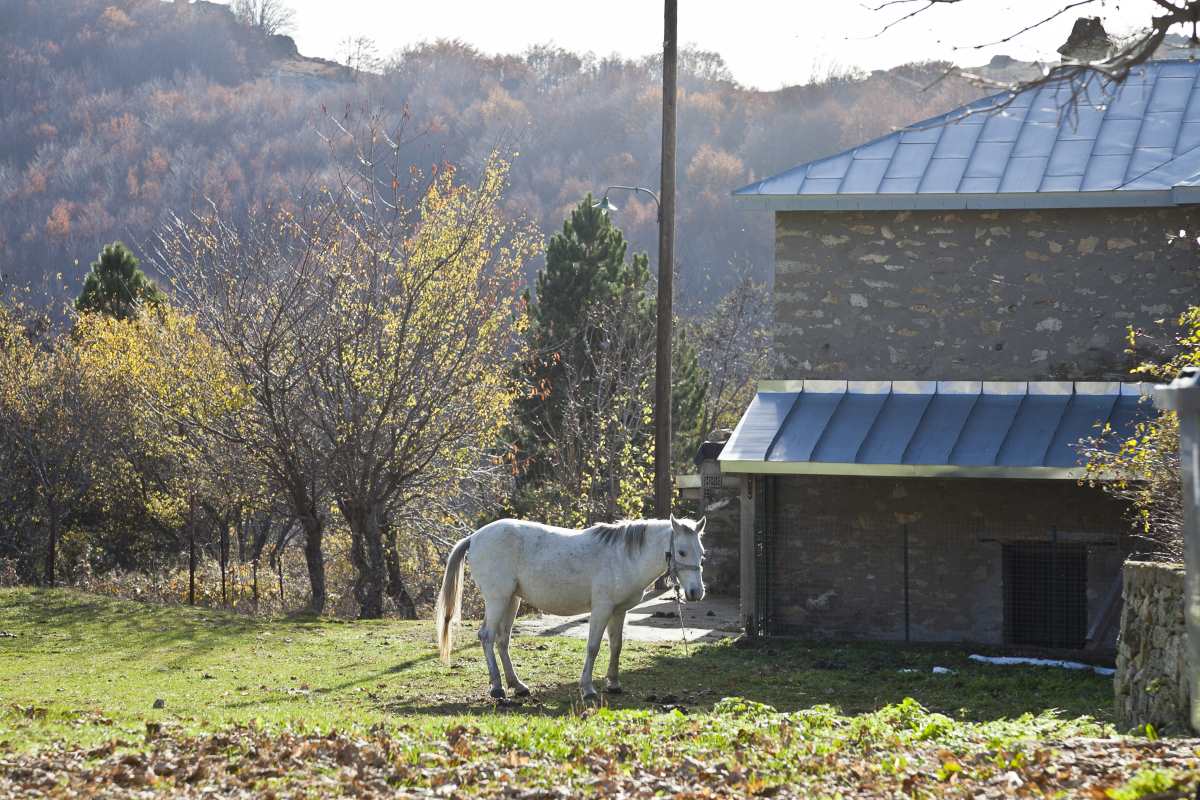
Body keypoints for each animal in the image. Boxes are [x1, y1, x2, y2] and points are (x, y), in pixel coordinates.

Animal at [439, 520, 700, 700]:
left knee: (502, 641)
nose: (696, 592)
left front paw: (614, 684)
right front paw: (588, 689)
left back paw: (517, 685)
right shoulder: (602, 609)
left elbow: (616, 646)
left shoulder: (618, 611)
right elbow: (593, 647)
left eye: (702, 552)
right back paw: (497, 688)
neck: (623, 557)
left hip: (511, 600)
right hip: (497, 599)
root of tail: (474, 537)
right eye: (682, 552)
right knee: (487, 636)